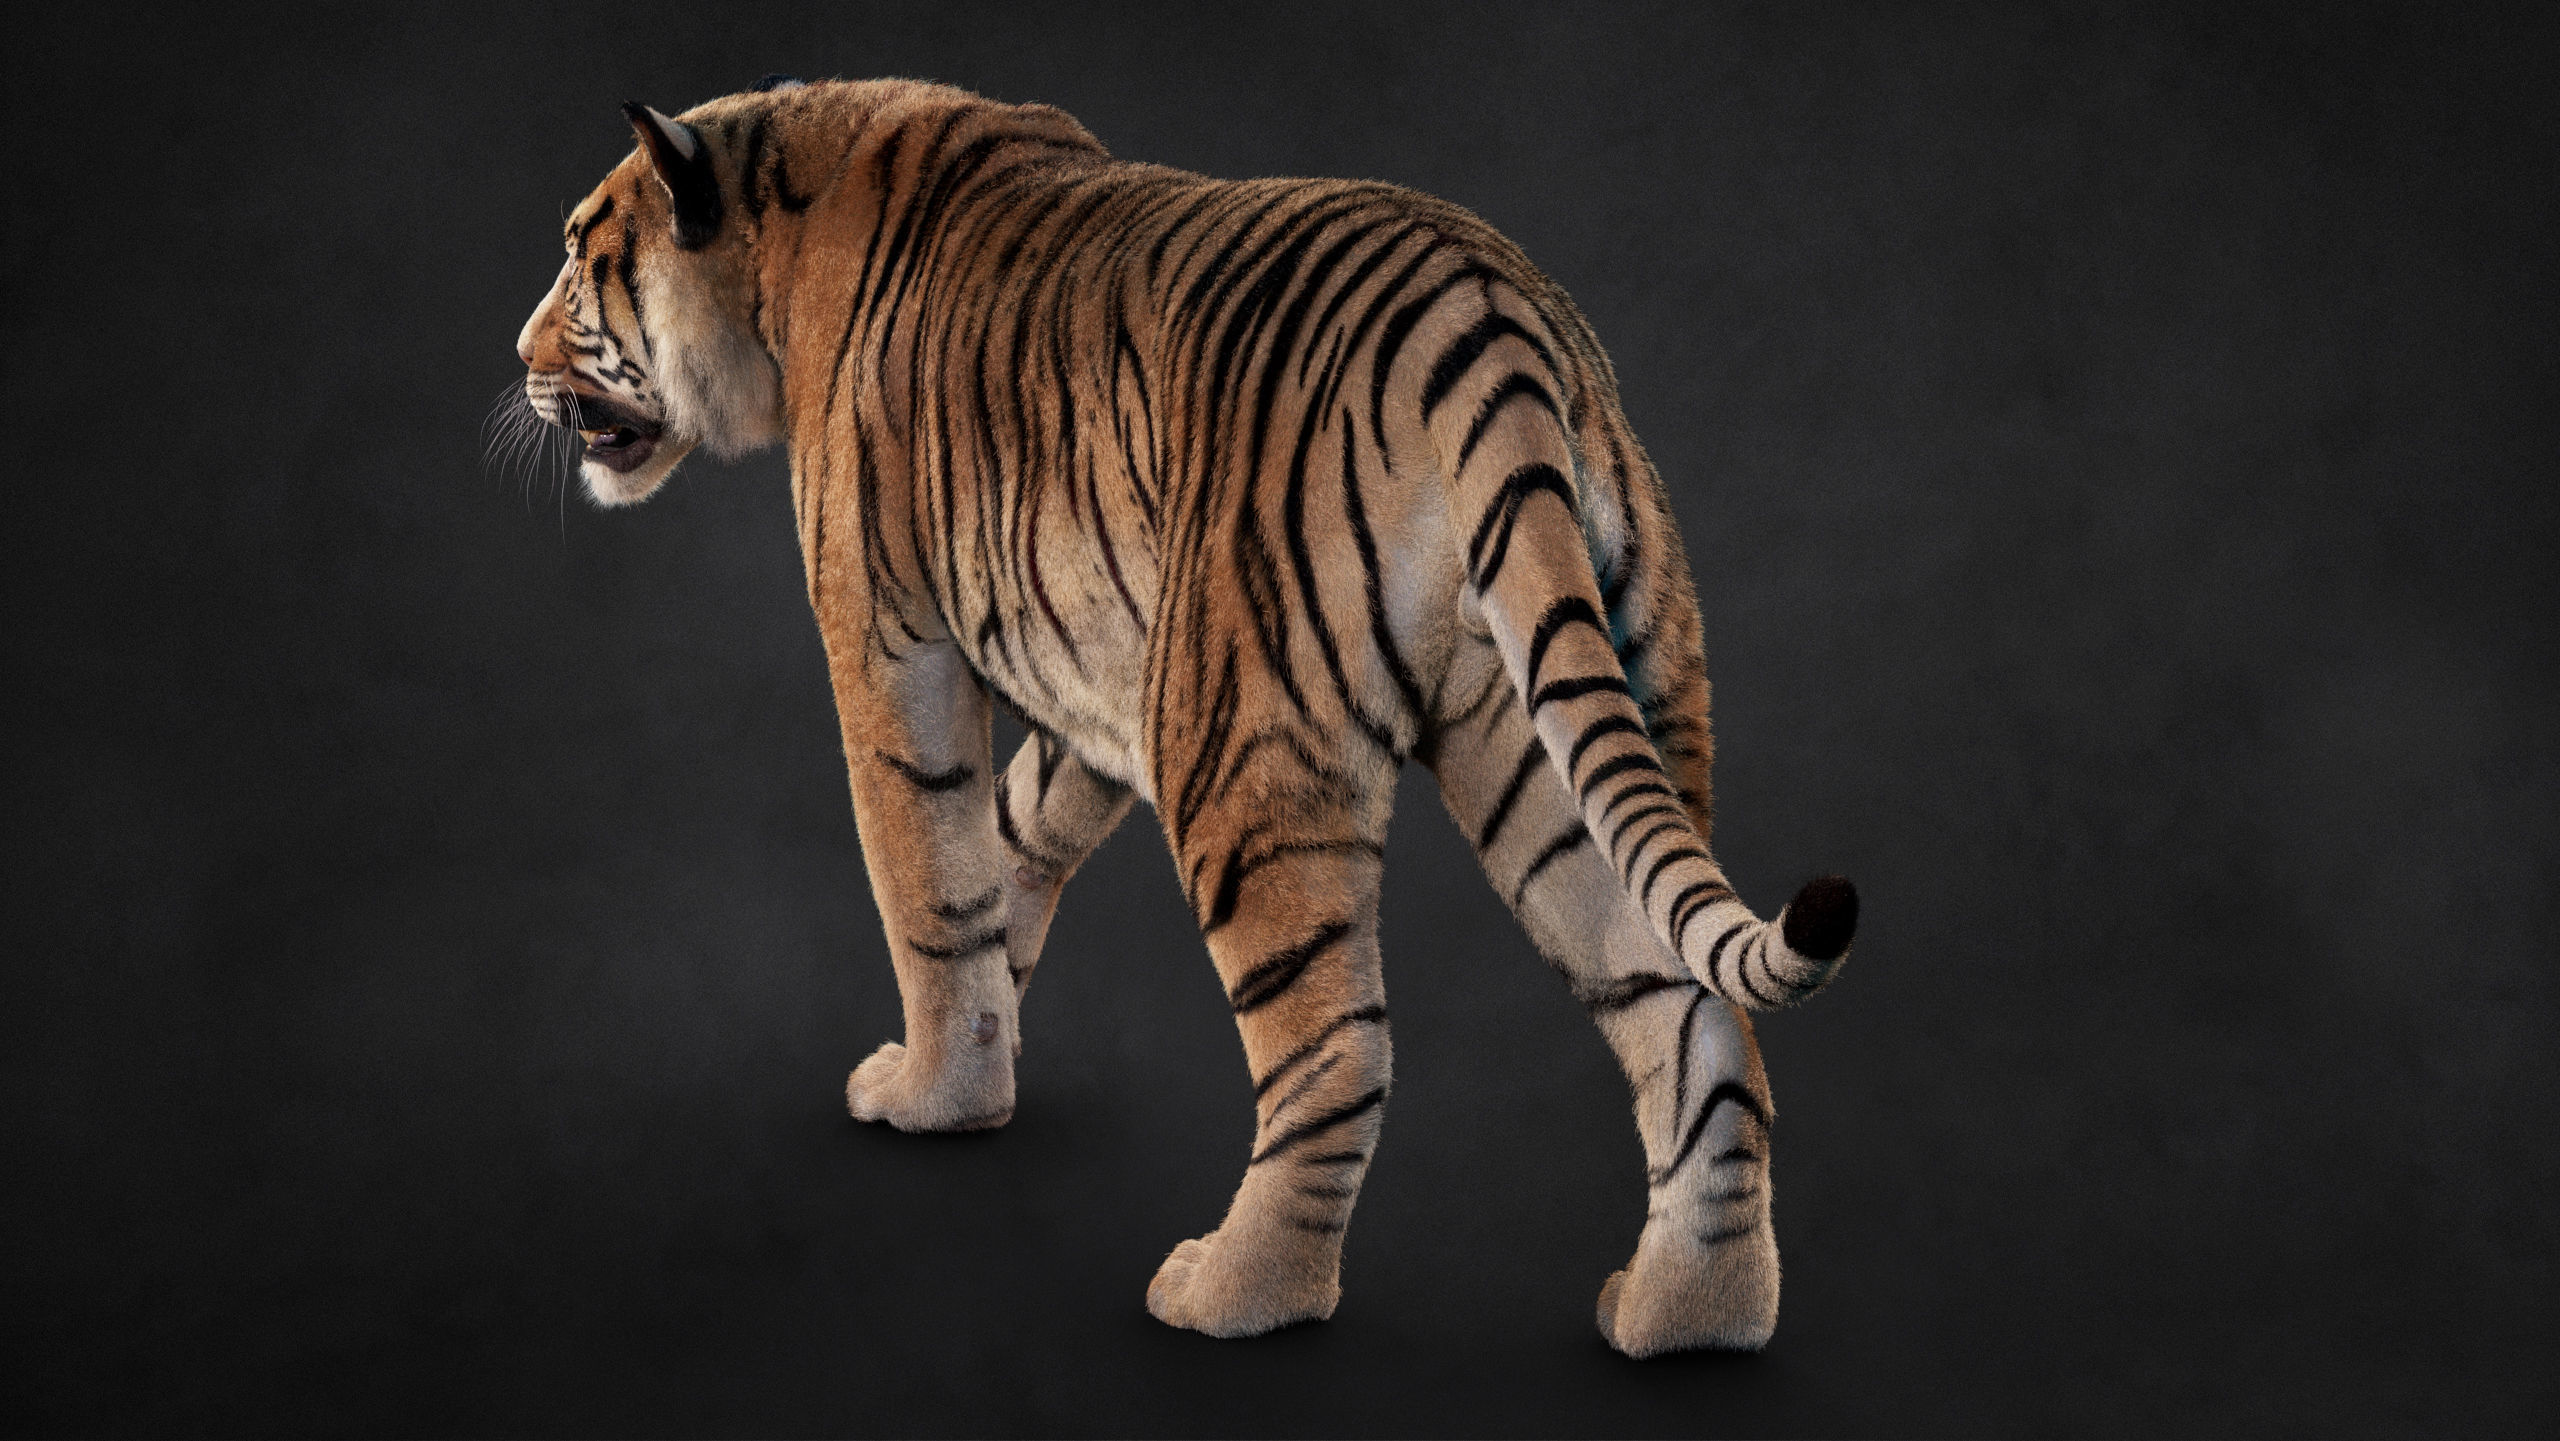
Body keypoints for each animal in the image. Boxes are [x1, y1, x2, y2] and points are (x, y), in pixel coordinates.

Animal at [511, 74, 1859, 1356]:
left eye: (580, 258)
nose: (521, 355)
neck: (779, 236)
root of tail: (1488, 315)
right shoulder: (1095, 687)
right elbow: (1010, 838)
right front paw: (988, 1043)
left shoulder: (890, 635)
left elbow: (928, 874)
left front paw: (934, 1090)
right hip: (1554, 736)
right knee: (1696, 1013)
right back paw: (1689, 1310)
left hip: (1242, 740)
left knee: (1341, 1050)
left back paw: (1233, 1290)